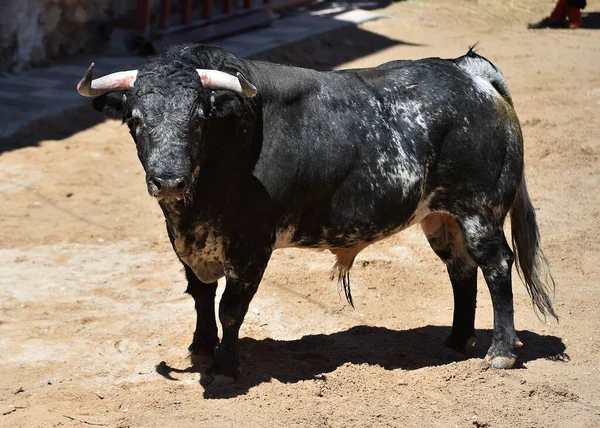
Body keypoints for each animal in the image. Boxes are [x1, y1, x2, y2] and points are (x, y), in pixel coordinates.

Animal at [78, 42, 556, 384]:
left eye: (198, 117)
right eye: (135, 119)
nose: (169, 181)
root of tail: (468, 69)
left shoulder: (251, 247)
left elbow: (230, 308)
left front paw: (225, 369)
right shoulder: (185, 240)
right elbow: (200, 296)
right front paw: (201, 348)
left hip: (478, 210)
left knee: (496, 265)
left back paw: (499, 353)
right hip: (441, 217)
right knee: (461, 269)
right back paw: (456, 342)